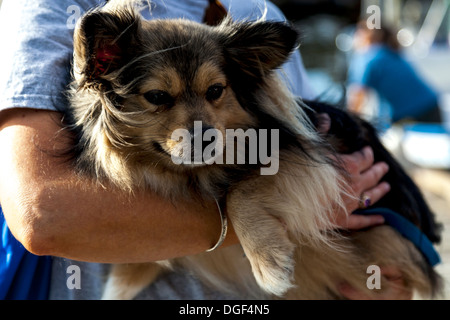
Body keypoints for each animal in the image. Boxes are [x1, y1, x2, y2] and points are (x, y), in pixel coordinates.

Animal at [65, 1, 442, 298]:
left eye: (216, 91)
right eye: (157, 96)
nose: (206, 139)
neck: (194, 175)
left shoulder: (309, 160)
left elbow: (241, 191)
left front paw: (268, 262)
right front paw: (118, 286)